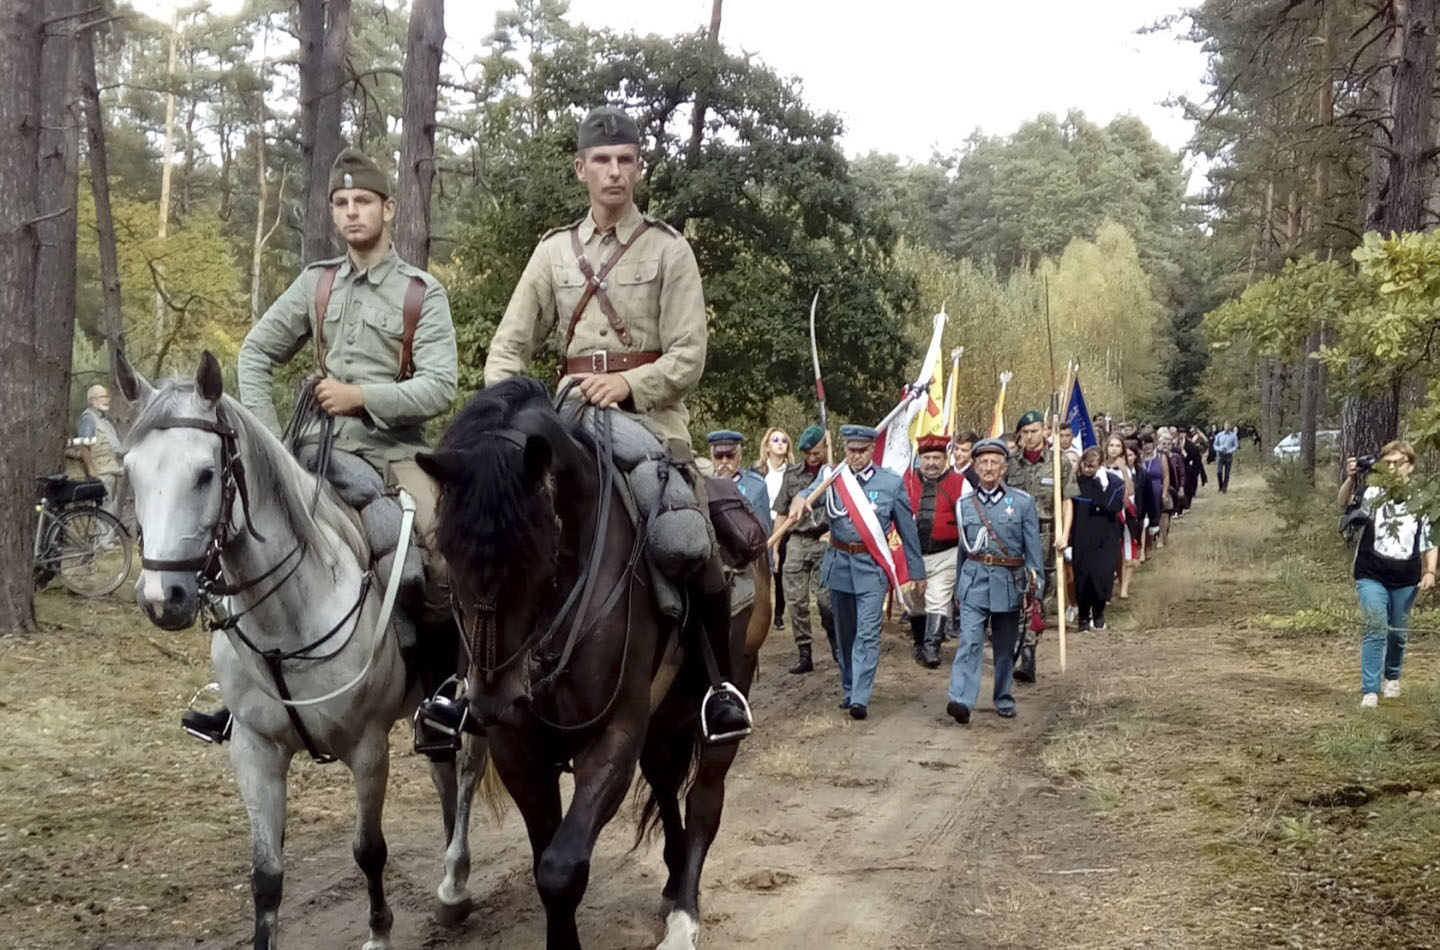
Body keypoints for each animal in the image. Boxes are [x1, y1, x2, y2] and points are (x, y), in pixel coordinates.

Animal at [420, 380, 766, 950]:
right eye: (445, 549)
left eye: (536, 547)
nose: (493, 700)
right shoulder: (518, 750)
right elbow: (544, 858)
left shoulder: (612, 738)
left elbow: (561, 868)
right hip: (662, 717)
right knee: (666, 781)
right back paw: (672, 880)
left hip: (719, 700)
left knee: (703, 801)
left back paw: (684, 916)